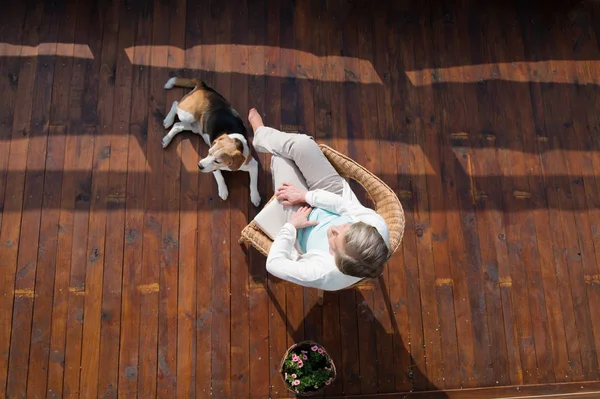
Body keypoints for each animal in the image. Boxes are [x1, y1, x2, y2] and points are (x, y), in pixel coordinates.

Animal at [162, 79, 260, 209]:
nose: (199, 166)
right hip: (187, 115)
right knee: (175, 104)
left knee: (177, 125)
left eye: (217, 161)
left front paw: (255, 197)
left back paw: (166, 138)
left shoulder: (253, 164)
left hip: (194, 127)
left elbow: (253, 182)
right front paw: (223, 191)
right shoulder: (212, 168)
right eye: (208, 152)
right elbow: (220, 177)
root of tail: (204, 87)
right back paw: (168, 121)